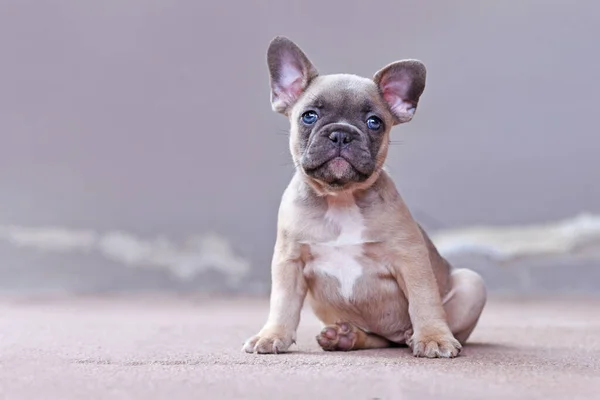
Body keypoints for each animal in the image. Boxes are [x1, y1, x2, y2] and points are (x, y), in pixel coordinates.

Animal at [241, 36, 486, 358]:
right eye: (309, 116)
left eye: (374, 122)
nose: (342, 134)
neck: (341, 197)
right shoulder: (289, 261)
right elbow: (282, 303)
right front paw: (272, 335)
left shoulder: (411, 259)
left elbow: (424, 300)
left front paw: (434, 337)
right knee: (376, 339)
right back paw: (345, 337)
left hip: (473, 284)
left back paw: (414, 335)